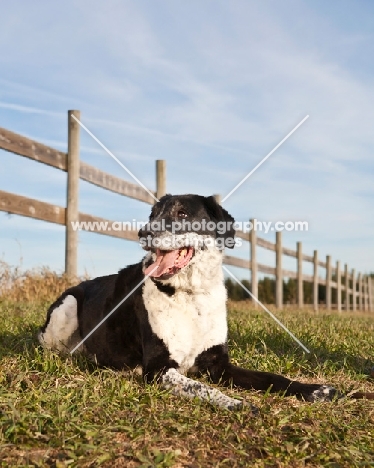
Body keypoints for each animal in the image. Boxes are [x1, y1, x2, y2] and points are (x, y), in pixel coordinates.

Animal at [38, 194, 374, 410]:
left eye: (182, 213)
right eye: (152, 215)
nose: (143, 232)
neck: (191, 296)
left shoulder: (219, 365)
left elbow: (272, 377)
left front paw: (315, 389)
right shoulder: (159, 369)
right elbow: (198, 386)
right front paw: (235, 403)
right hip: (67, 308)